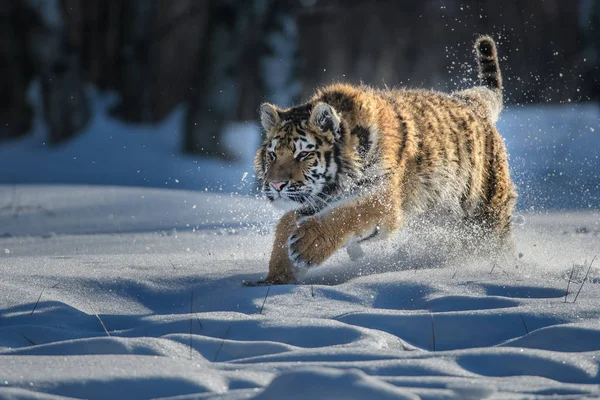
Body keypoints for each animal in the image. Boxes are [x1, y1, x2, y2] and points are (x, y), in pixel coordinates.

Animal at [247, 34, 516, 284]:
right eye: (272, 155)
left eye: (303, 154)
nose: (276, 185)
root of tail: (470, 101)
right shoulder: (312, 201)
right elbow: (284, 225)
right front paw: (274, 279)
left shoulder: (383, 197)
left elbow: (349, 213)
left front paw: (305, 245)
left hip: (488, 213)